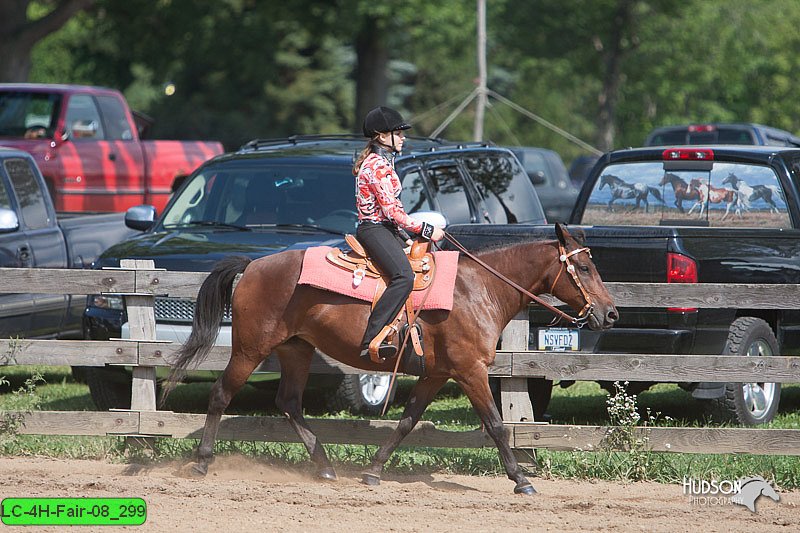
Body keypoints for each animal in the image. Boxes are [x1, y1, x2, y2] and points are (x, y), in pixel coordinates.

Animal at [166, 222, 620, 492]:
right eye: (585, 268)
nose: (611, 314)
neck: (478, 289)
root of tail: (253, 266)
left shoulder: (436, 374)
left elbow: (407, 421)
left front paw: (373, 470)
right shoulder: (470, 372)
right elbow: (495, 425)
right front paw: (521, 479)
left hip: (296, 348)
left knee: (289, 402)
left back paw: (324, 466)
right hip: (250, 348)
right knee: (221, 394)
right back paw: (202, 463)